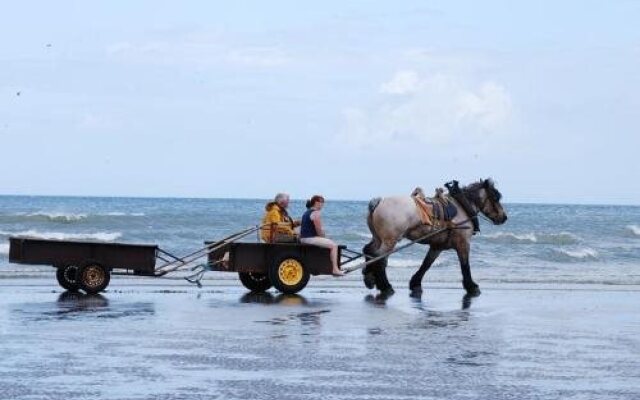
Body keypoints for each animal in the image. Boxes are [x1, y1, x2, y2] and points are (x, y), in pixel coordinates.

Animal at [362, 178, 508, 296]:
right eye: (496, 198)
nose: (504, 217)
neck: (462, 207)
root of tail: (379, 201)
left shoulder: (437, 246)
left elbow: (426, 264)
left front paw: (415, 283)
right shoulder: (463, 243)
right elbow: (465, 265)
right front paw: (471, 286)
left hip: (379, 238)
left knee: (369, 251)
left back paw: (369, 277)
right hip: (390, 241)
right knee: (379, 258)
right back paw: (386, 286)